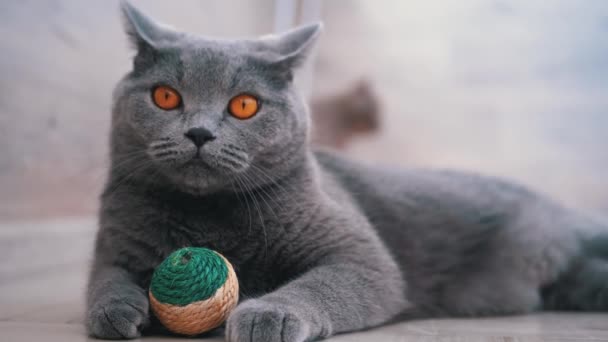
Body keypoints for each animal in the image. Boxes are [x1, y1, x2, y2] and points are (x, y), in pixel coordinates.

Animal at [88, 1, 608, 340]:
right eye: (165, 97)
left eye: (244, 105)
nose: (199, 133)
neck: (207, 219)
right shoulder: (114, 243)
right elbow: (103, 279)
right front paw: (114, 310)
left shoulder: (360, 255)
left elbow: (322, 283)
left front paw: (269, 314)